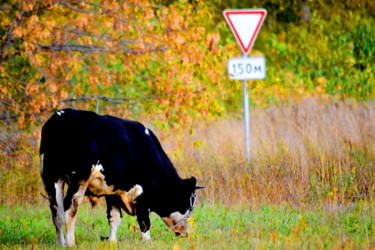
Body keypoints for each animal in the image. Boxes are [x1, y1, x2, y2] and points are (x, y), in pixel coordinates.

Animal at [39, 109, 204, 246]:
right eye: (190, 203)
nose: (186, 233)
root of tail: (62, 116)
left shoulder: (113, 191)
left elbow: (114, 217)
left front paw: (112, 242)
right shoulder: (143, 195)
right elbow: (144, 220)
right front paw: (148, 242)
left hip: (51, 177)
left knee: (56, 212)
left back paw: (60, 243)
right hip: (78, 179)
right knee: (70, 208)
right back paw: (70, 243)